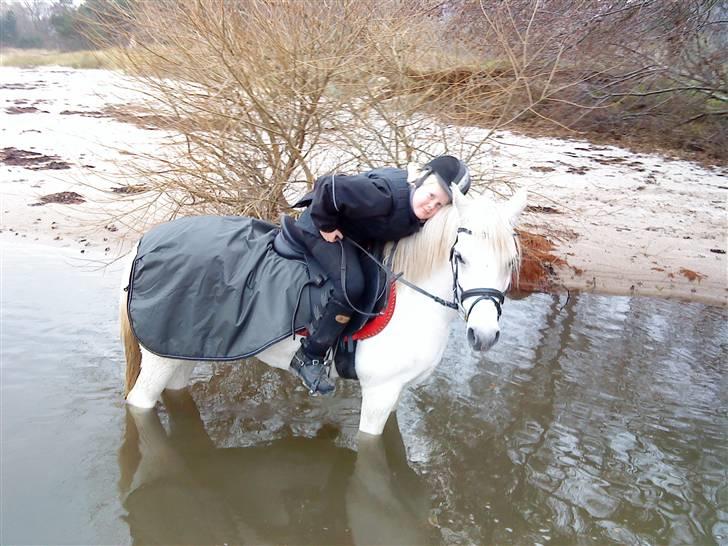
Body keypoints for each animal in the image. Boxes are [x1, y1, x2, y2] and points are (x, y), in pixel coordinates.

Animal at [121, 187, 528, 434]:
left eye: (510, 262)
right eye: (460, 256)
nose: (484, 335)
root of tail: (146, 243)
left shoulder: (396, 393)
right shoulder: (379, 393)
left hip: (183, 349)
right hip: (159, 355)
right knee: (139, 403)